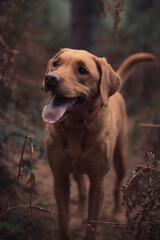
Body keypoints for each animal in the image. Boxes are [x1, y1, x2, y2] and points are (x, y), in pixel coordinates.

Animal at [41, 49, 155, 240]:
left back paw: (117, 214)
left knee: (117, 185)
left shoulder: (98, 180)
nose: (50, 78)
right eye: (56, 64)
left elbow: (92, 223)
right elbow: (63, 220)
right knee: (81, 192)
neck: (76, 129)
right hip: (76, 170)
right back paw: (78, 217)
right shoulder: (59, 177)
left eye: (82, 70)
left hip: (120, 157)